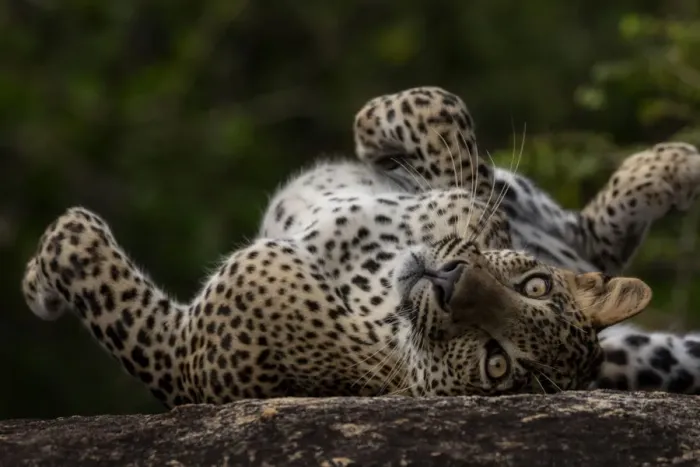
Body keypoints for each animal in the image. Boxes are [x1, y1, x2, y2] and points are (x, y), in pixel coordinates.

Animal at [19, 86, 694, 409]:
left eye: (496, 364)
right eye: (532, 285)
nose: (450, 281)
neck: (375, 279)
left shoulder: (179, 354)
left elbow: (80, 249)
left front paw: (39, 282)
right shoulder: (465, 204)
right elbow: (444, 116)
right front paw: (378, 133)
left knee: (591, 243)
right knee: (586, 242)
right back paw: (674, 165)